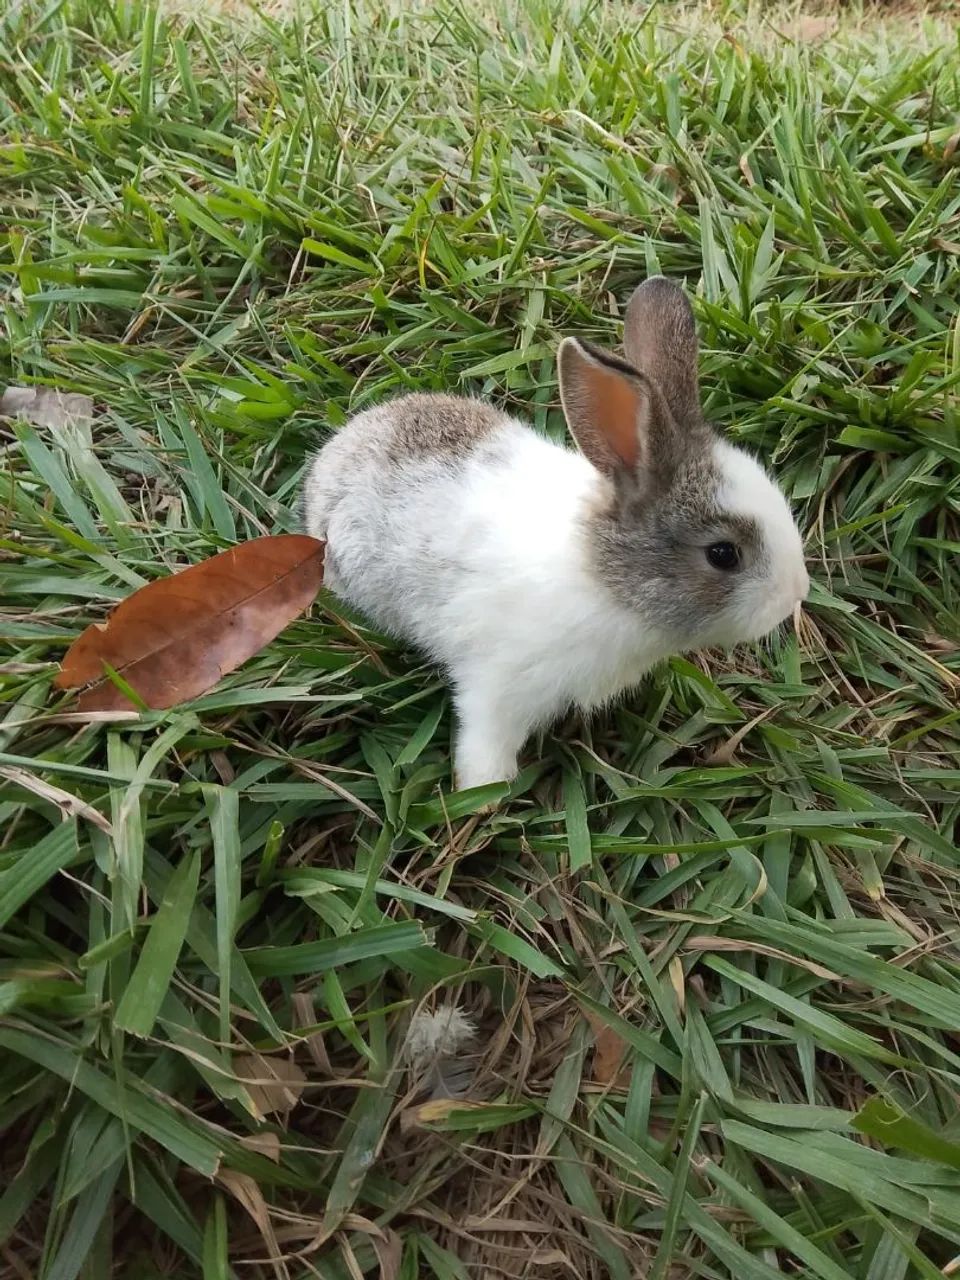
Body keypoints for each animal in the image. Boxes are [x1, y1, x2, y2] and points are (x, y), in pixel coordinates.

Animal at [302, 277, 809, 790]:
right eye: (724, 554)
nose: (797, 593)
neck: (605, 577)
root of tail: (334, 454)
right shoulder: (499, 683)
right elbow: (487, 732)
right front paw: (485, 789)